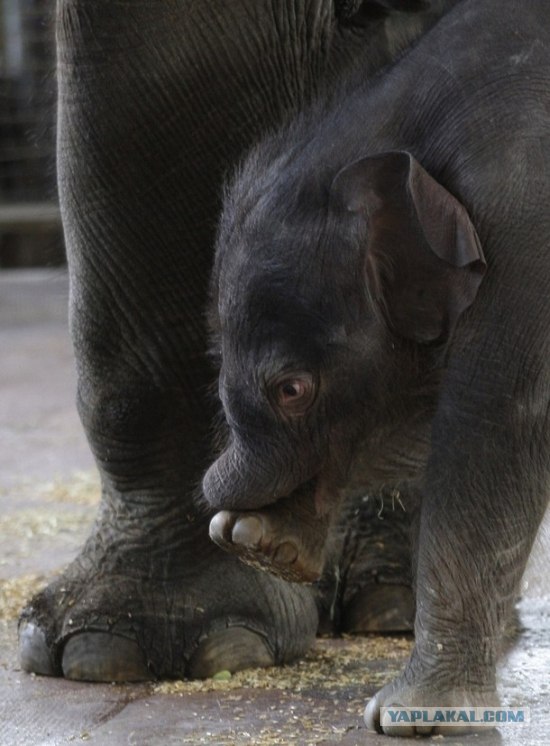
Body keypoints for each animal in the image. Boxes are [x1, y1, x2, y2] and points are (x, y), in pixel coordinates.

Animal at [203, 0, 550, 737]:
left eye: (292, 390)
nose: (228, 525)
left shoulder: (529, 229)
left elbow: (496, 429)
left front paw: (413, 719)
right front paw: (261, 544)